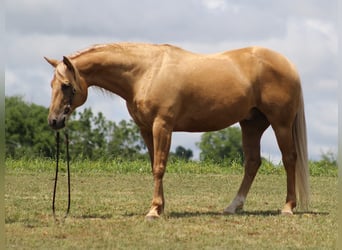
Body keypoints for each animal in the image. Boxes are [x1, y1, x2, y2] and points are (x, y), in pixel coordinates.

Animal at [45, 43, 310, 219]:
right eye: (52, 84)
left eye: (66, 85)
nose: (54, 121)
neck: (146, 72)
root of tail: (288, 64)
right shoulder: (146, 129)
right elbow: (154, 165)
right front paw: (159, 206)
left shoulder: (162, 126)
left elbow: (159, 166)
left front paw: (154, 211)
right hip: (252, 125)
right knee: (253, 163)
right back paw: (233, 206)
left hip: (281, 124)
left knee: (289, 159)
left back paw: (288, 207)